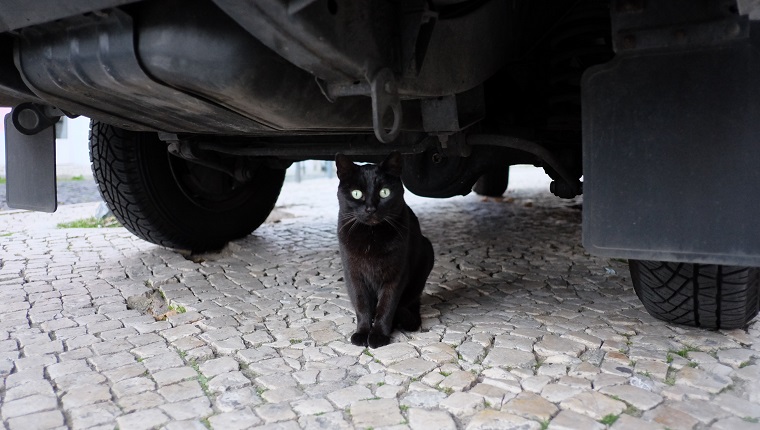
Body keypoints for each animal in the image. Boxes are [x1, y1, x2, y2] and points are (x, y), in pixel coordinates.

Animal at [334, 151, 434, 350]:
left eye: (384, 192)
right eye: (356, 194)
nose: (370, 208)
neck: (371, 237)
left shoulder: (395, 276)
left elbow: (386, 307)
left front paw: (379, 335)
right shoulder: (353, 274)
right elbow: (362, 306)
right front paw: (362, 333)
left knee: (409, 303)